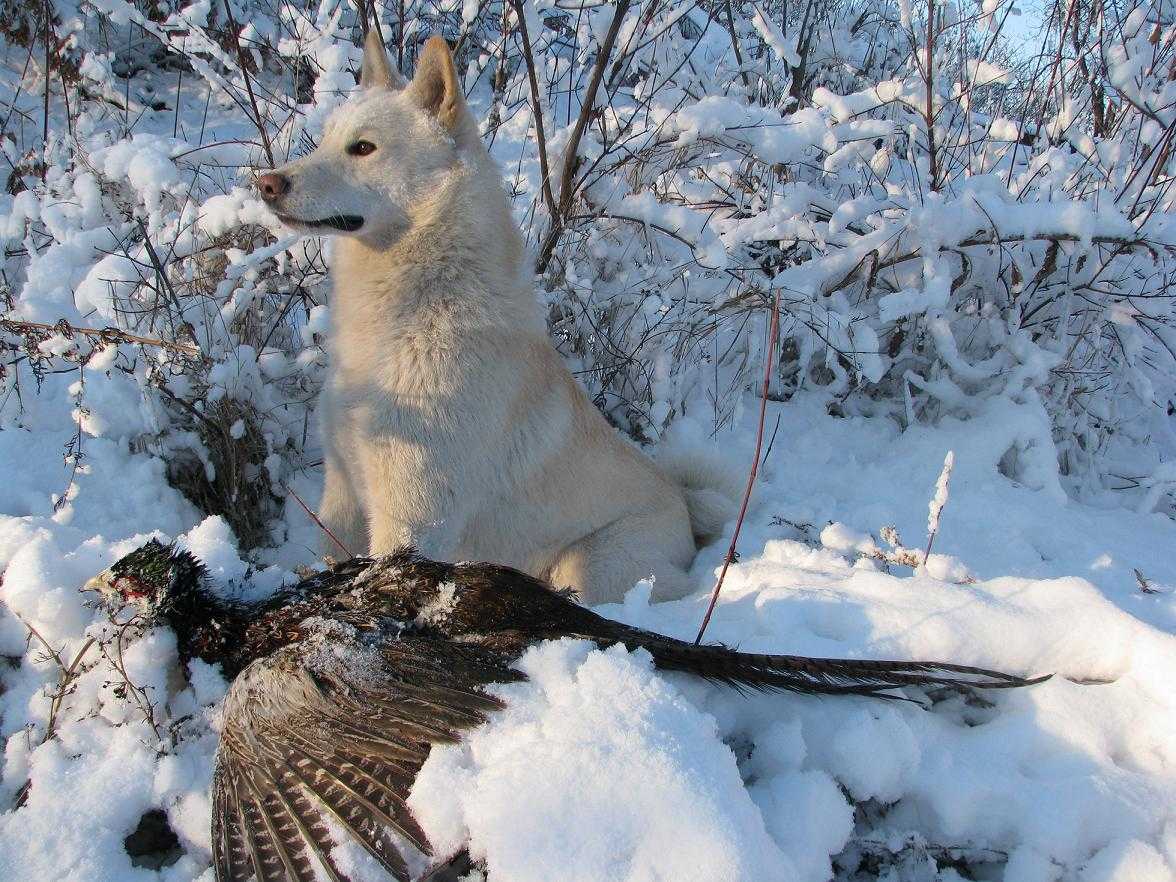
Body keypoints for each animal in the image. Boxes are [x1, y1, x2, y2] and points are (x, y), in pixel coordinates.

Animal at [262, 31, 729, 606]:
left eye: (363, 148)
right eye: (325, 141)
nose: (266, 183)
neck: (413, 310)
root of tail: (685, 506)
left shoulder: (413, 519)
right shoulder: (344, 494)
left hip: (592, 567)